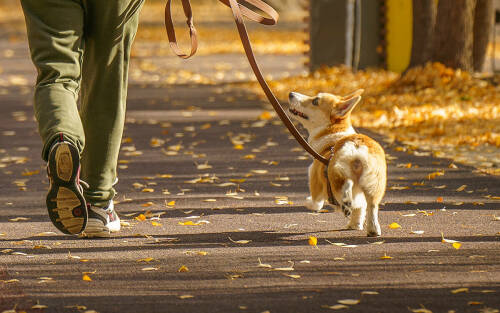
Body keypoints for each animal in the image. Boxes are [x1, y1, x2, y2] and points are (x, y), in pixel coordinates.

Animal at [290, 89, 386, 235]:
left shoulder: (314, 178)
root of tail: (357, 148)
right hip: (375, 184)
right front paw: (354, 225)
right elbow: (360, 211)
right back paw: (373, 230)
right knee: (371, 206)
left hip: (335, 176)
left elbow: (316, 202)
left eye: (315, 101)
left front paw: (308, 203)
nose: (290, 94)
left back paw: (346, 203)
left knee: (345, 187)